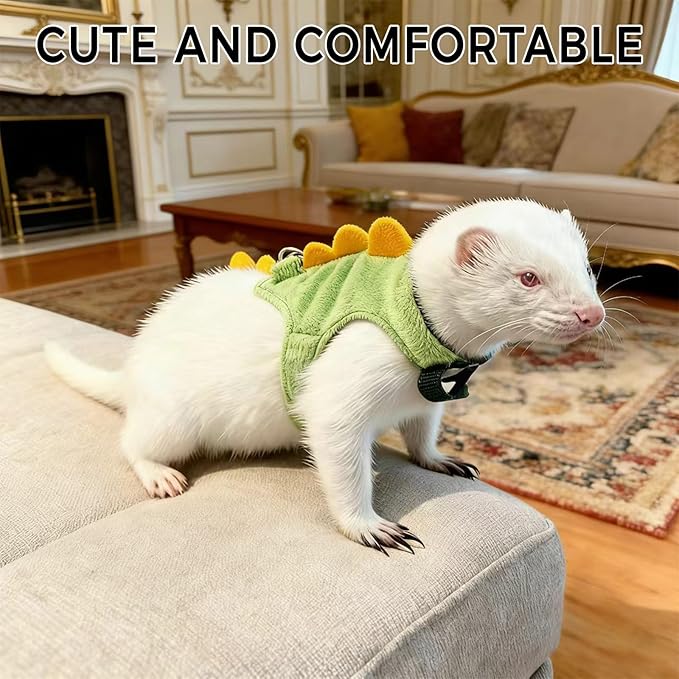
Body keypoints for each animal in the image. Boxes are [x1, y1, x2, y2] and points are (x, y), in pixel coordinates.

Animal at [45, 199, 606, 553]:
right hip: (171, 419)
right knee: (131, 444)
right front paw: (371, 528)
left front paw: (441, 460)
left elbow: (422, 434)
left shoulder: (428, 401)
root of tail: (134, 364)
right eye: (528, 277)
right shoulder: (340, 394)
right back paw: (160, 474)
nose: (592, 314)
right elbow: (341, 462)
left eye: (587, 266)